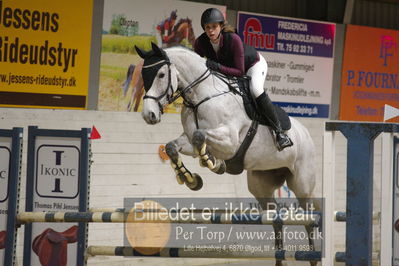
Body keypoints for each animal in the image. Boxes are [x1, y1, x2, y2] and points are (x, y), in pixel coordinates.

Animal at [136, 42, 320, 264]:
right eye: (144, 75)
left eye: (161, 74)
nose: (149, 115)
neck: (200, 96)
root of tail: (306, 134)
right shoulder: (188, 139)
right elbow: (174, 146)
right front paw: (191, 179)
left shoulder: (230, 141)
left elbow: (200, 136)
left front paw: (214, 163)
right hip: (261, 186)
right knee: (276, 218)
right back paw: (279, 259)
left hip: (302, 185)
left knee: (308, 219)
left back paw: (312, 257)